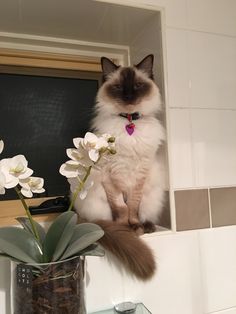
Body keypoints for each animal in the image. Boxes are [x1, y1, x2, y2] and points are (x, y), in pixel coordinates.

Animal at [73, 55, 165, 280]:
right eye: (118, 88)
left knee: (144, 212)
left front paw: (135, 226)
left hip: (152, 195)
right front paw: (125, 229)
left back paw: (146, 227)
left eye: (138, 86)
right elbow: (121, 208)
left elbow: (132, 205)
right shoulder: (110, 176)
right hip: (96, 205)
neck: (130, 124)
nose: (129, 96)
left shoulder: (140, 174)